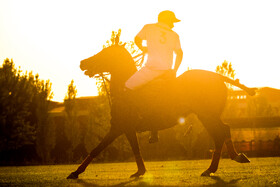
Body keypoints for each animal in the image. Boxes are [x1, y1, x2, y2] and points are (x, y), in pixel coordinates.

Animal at [66, 43, 255, 179]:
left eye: (105, 53)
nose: (82, 62)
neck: (125, 89)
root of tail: (218, 76)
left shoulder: (119, 127)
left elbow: (96, 149)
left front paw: (75, 173)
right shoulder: (128, 128)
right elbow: (135, 149)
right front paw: (140, 171)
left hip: (206, 114)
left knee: (220, 133)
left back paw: (214, 167)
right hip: (209, 115)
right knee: (224, 130)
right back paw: (232, 159)